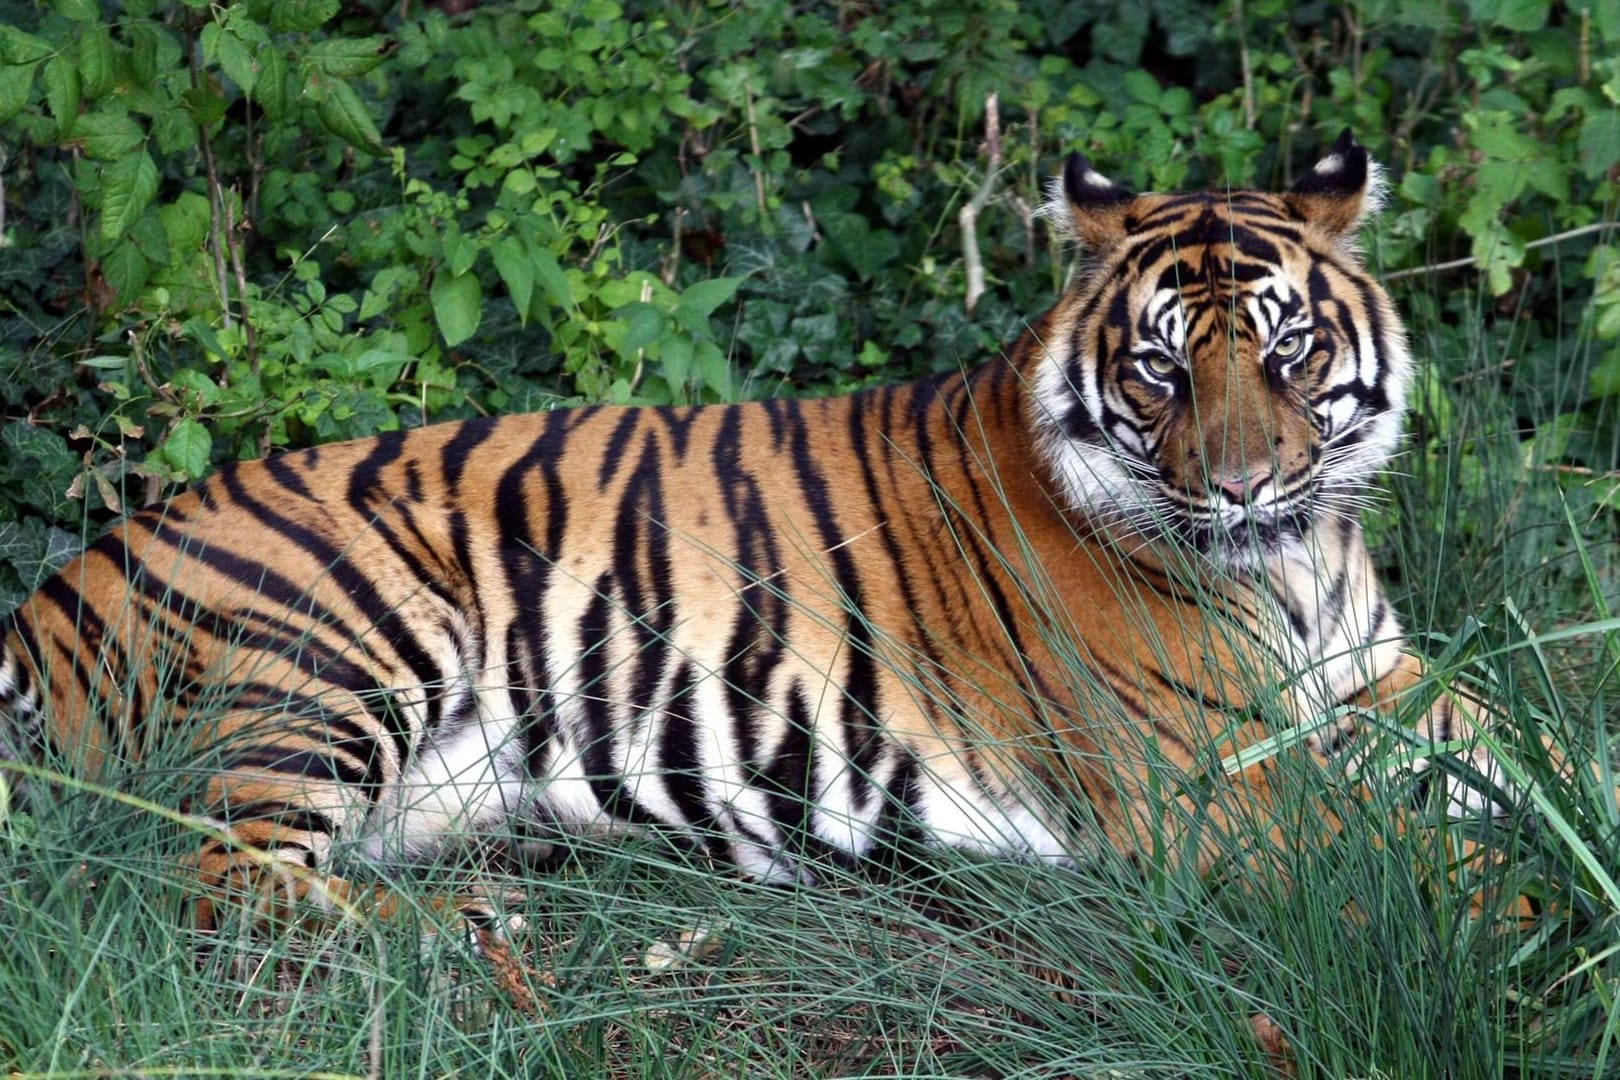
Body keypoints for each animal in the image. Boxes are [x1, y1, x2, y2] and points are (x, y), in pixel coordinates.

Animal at [0, 128, 1490, 939]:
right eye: (1164, 371)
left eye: (1289, 353)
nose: (1242, 489)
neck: (1295, 567)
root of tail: (52, 592)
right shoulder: (1210, 782)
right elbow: (1426, 865)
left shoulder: (1378, 678)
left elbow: (1507, 741)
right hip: (343, 646)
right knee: (215, 881)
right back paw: (462, 931)